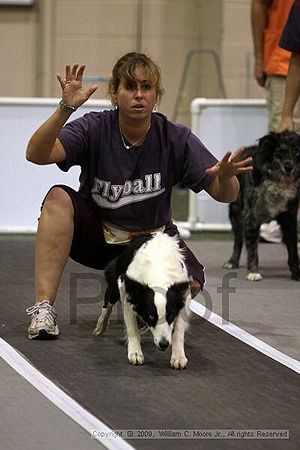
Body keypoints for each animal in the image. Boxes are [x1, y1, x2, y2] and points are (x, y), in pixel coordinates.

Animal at [224, 129, 300, 282]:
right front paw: (253, 272)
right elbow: (253, 248)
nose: (289, 167)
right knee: (238, 240)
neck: (277, 182)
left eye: (297, 153)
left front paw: (297, 273)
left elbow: (293, 248)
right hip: (236, 213)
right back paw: (232, 261)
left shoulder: (289, 218)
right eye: (280, 153)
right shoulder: (251, 218)